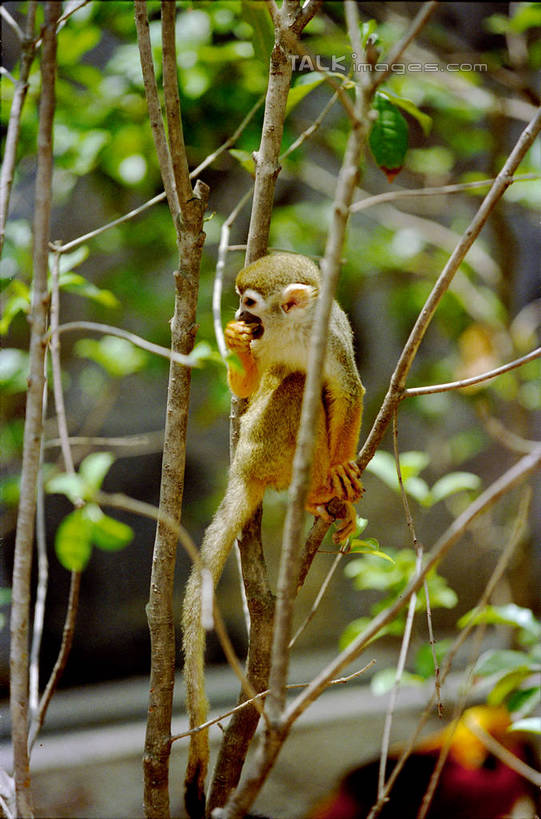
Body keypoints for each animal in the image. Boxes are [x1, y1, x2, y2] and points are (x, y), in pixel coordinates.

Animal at [181, 253, 362, 816]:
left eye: (250, 301)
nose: (240, 317)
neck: (294, 330)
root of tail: (243, 468)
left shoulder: (331, 340)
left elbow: (347, 392)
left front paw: (344, 466)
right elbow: (251, 389)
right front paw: (237, 347)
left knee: (310, 390)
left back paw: (327, 490)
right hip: (261, 448)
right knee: (294, 390)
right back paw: (313, 493)